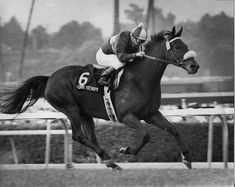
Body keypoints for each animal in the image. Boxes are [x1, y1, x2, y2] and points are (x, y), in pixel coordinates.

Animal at [0, 26, 198, 171]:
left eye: (186, 45)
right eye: (177, 47)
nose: (194, 66)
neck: (141, 80)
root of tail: (50, 78)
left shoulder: (151, 114)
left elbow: (173, 129)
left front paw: (187, 158)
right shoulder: (126, 116)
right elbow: (146, 134)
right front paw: (126, 150)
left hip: (85, 113)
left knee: (91, 138)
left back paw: (109, 161)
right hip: (70, 108)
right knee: (79, 136)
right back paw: (111, 161)